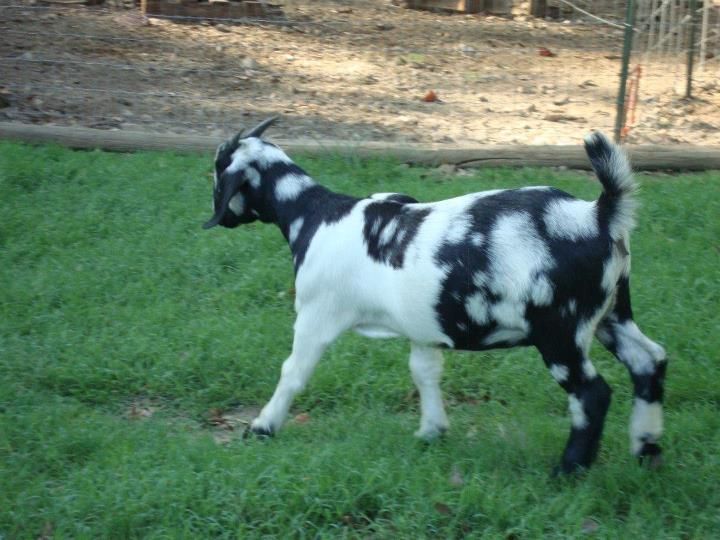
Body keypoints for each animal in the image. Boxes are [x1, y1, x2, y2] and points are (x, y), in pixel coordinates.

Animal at [202, 118, 667, 474]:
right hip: (611, 314)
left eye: (218, 172)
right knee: (650, 361)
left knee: (592, 394)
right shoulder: (422, 327)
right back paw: (646, 449)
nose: (219, 217)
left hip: (560, 332)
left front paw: (263, 426)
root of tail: (598, 214)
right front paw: (432, 431)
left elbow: (294, 372)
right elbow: (424, 372)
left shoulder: (316, 316)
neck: (314, 214)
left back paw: (569, 469)